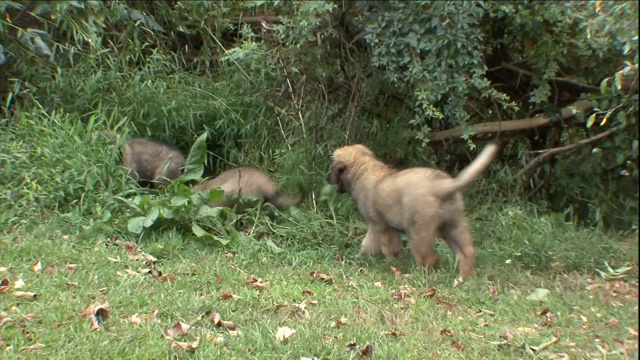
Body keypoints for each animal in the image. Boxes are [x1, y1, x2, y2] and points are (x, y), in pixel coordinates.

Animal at [330, 142, 500, 278]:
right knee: (467, 252)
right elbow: (369, 244)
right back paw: (463, 279)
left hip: (419, 231)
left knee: (428, 259)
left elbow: (384, 246)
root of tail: (441, 186)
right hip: (453, 225)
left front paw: (389, 261)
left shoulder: (380, 225)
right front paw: (362, 256)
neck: (363, 167)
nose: (327, 177)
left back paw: (415, 276)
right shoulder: (380, 225)